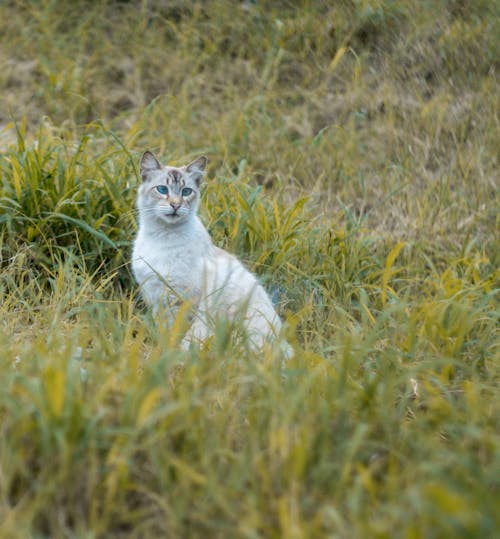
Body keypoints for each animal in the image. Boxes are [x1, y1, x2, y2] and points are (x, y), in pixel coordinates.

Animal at [131, 151, 292, 354]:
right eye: (162, 189)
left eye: (186, 192)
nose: (175, 205)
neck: (161, 236)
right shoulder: (155, 297)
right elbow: (165, 333)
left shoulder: (184, 299)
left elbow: (179, 335)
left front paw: (172, 354)